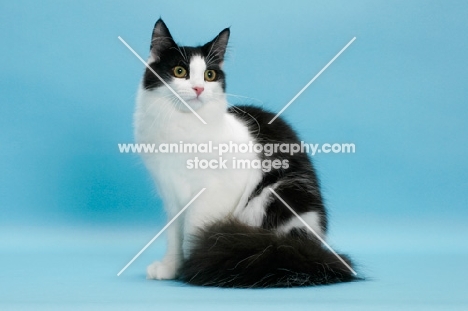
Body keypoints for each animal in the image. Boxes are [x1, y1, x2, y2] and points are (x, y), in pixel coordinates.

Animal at [133, 18, 356, 288]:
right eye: (179, 71)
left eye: (209, 75)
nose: (198, 89)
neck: (183, 127)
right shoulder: (171, 194)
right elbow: (174, 236)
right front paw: (171, 268)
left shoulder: (215, 193)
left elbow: (193, 230)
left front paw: (193, 265)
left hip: (274, 197)